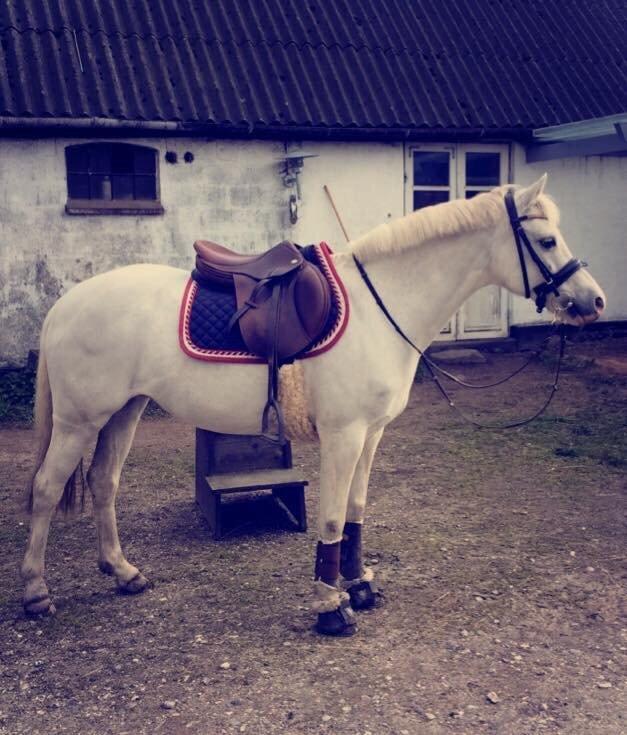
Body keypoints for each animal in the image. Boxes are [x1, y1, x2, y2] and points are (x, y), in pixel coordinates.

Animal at [20, 174, 605, 636]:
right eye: (547, 240)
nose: (594, 301)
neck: (379, 306)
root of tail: (64, 305)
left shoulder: (371, 434)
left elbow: (355, 512)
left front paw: (359, 586)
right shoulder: (343, 435)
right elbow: (329, 518)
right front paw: (331, 607)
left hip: (125, 411)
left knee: (103, 483)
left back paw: (123, 572)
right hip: (78, 422)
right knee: (47, 490)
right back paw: (36, 593)